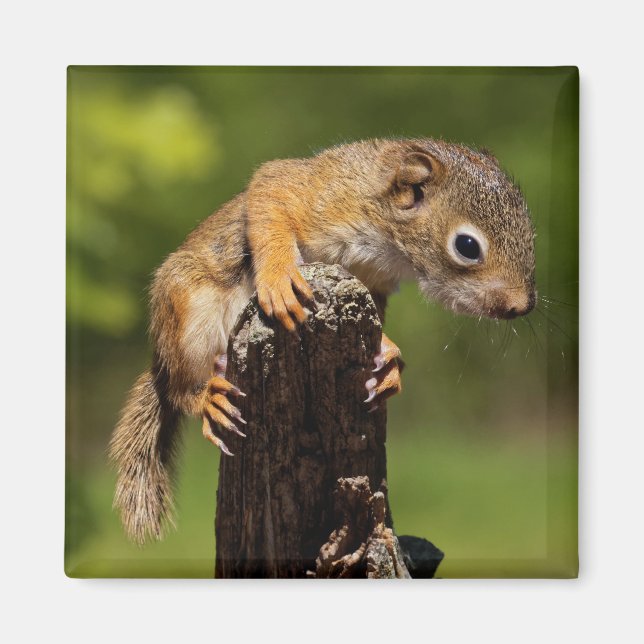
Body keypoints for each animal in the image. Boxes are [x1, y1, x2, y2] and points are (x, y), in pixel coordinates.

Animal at [109, 137, 536, 545]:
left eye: (531, 232)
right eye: (467, 246)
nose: (523, 306)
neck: (388, 236)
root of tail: (161, 361)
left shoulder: (373, 281)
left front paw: (389, 358)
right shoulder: (319, 192)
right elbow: (271, 194)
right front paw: (280, 277)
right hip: (187, 314)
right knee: (180, 388)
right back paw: (207, 396)